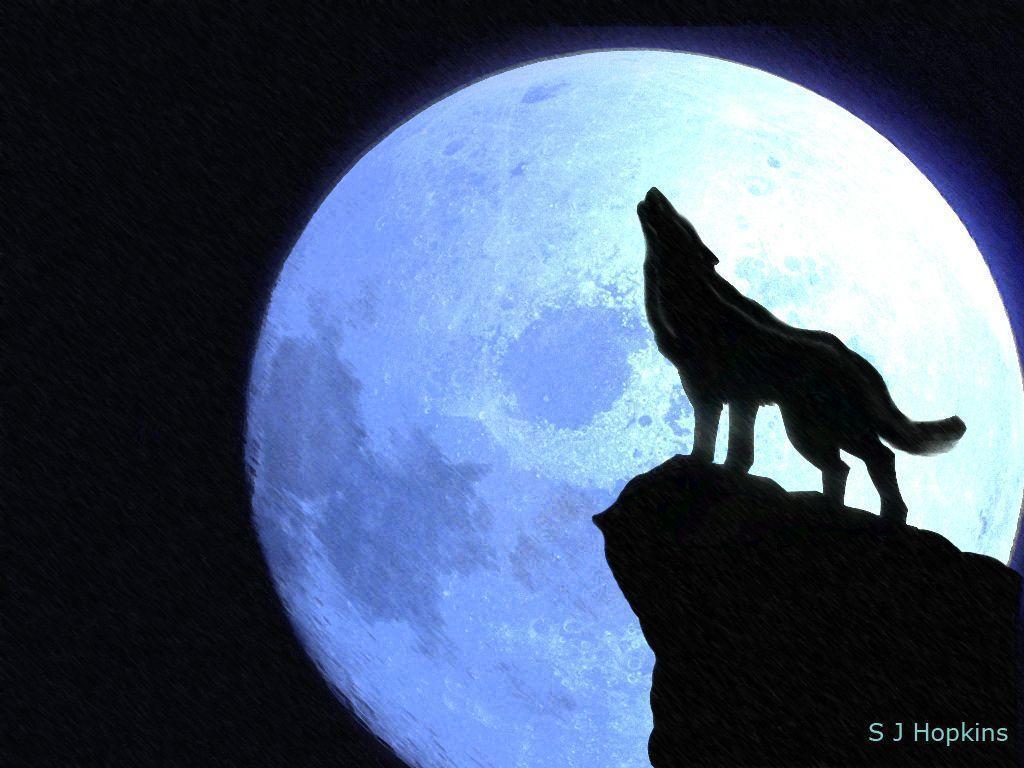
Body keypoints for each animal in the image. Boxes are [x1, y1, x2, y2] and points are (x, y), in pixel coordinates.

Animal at [637, 187, 965, 524]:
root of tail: (855, 360)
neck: (685, 304)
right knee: (843, 467)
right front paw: (717, 467)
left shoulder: (726, 395)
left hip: (819, 429)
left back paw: (891, 516)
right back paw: (828, 507)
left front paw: (710, 468)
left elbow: (721, 442)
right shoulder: (718, 395)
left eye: (679, 221)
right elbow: (723, 443)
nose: (654, 191)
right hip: (809, 431)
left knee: (880, 457)